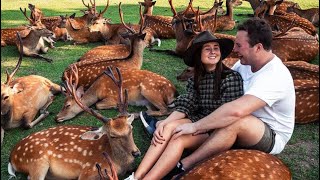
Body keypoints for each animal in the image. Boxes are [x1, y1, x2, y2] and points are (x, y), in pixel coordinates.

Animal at [7, 64, 140, 180]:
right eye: (112, 135)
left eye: (131, 129)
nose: (136, 153)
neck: (118, 163)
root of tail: (12, 157)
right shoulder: (88, 170)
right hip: (37, 161)